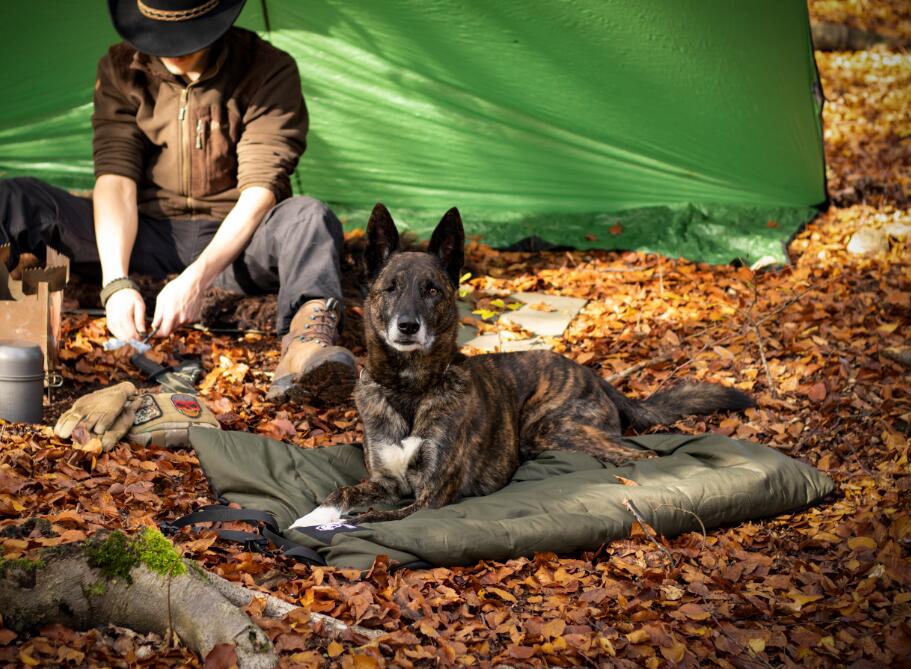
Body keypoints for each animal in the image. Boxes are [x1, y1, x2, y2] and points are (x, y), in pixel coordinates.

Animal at [294, 204, 756, 528]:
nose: (408, 326)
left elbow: (381, 517)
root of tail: (594, 376)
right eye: (389, 288)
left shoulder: (431, 496)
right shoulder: (385, 482)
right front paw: (312, 517)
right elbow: (340, 493)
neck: (410, 389)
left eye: (432, 290)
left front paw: (349, 524)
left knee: (639, 452)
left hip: (551, 428)